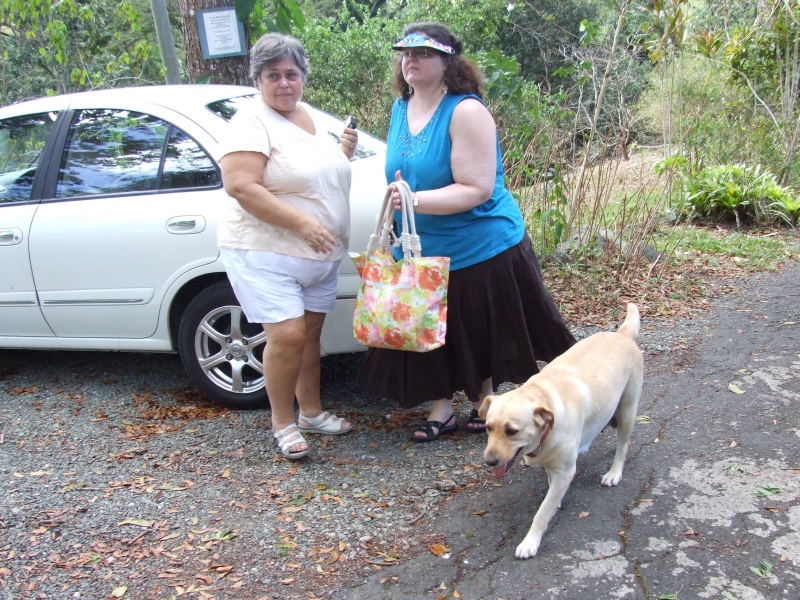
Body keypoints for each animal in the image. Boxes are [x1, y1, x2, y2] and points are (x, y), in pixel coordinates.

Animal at [479, 302, 643, 559]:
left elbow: (541, 513)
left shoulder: (565, 471)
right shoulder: (552, 466)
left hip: (626, 411)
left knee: (623, 445)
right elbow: (550, 488)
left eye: (512, 431)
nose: (490, 461)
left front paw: (530, 541)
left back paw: (614, 472)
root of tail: (621, 334)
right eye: (488, 428)